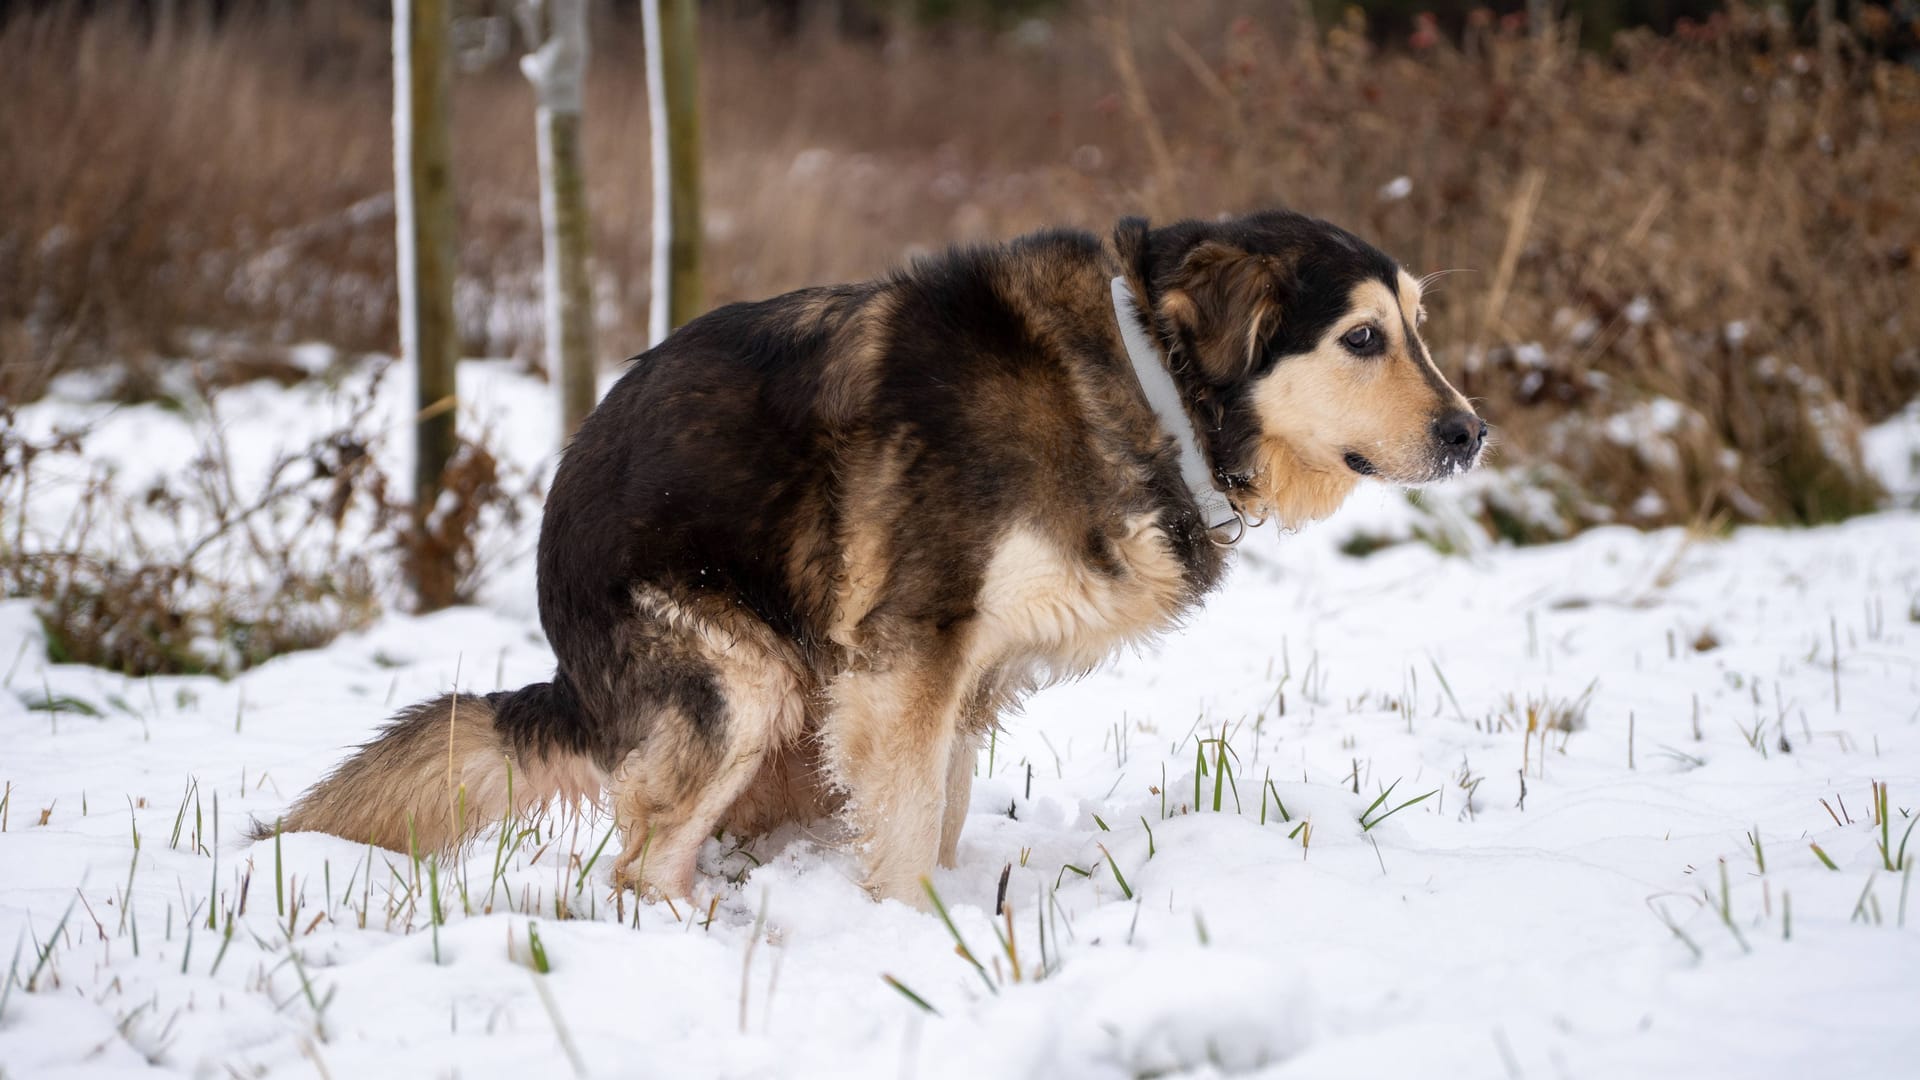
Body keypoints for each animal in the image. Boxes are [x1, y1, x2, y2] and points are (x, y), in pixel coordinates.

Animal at [259, 208, 1482, 899]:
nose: (1472, 434)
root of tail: (570, 675)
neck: (1147, 376)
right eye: (1362, 339)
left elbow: (934, 812)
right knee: (635, 869)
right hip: (742, 681)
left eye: (1419, 326)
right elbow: (899, 840)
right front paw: (913, 943)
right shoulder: (908, 662)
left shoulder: (960, 680)